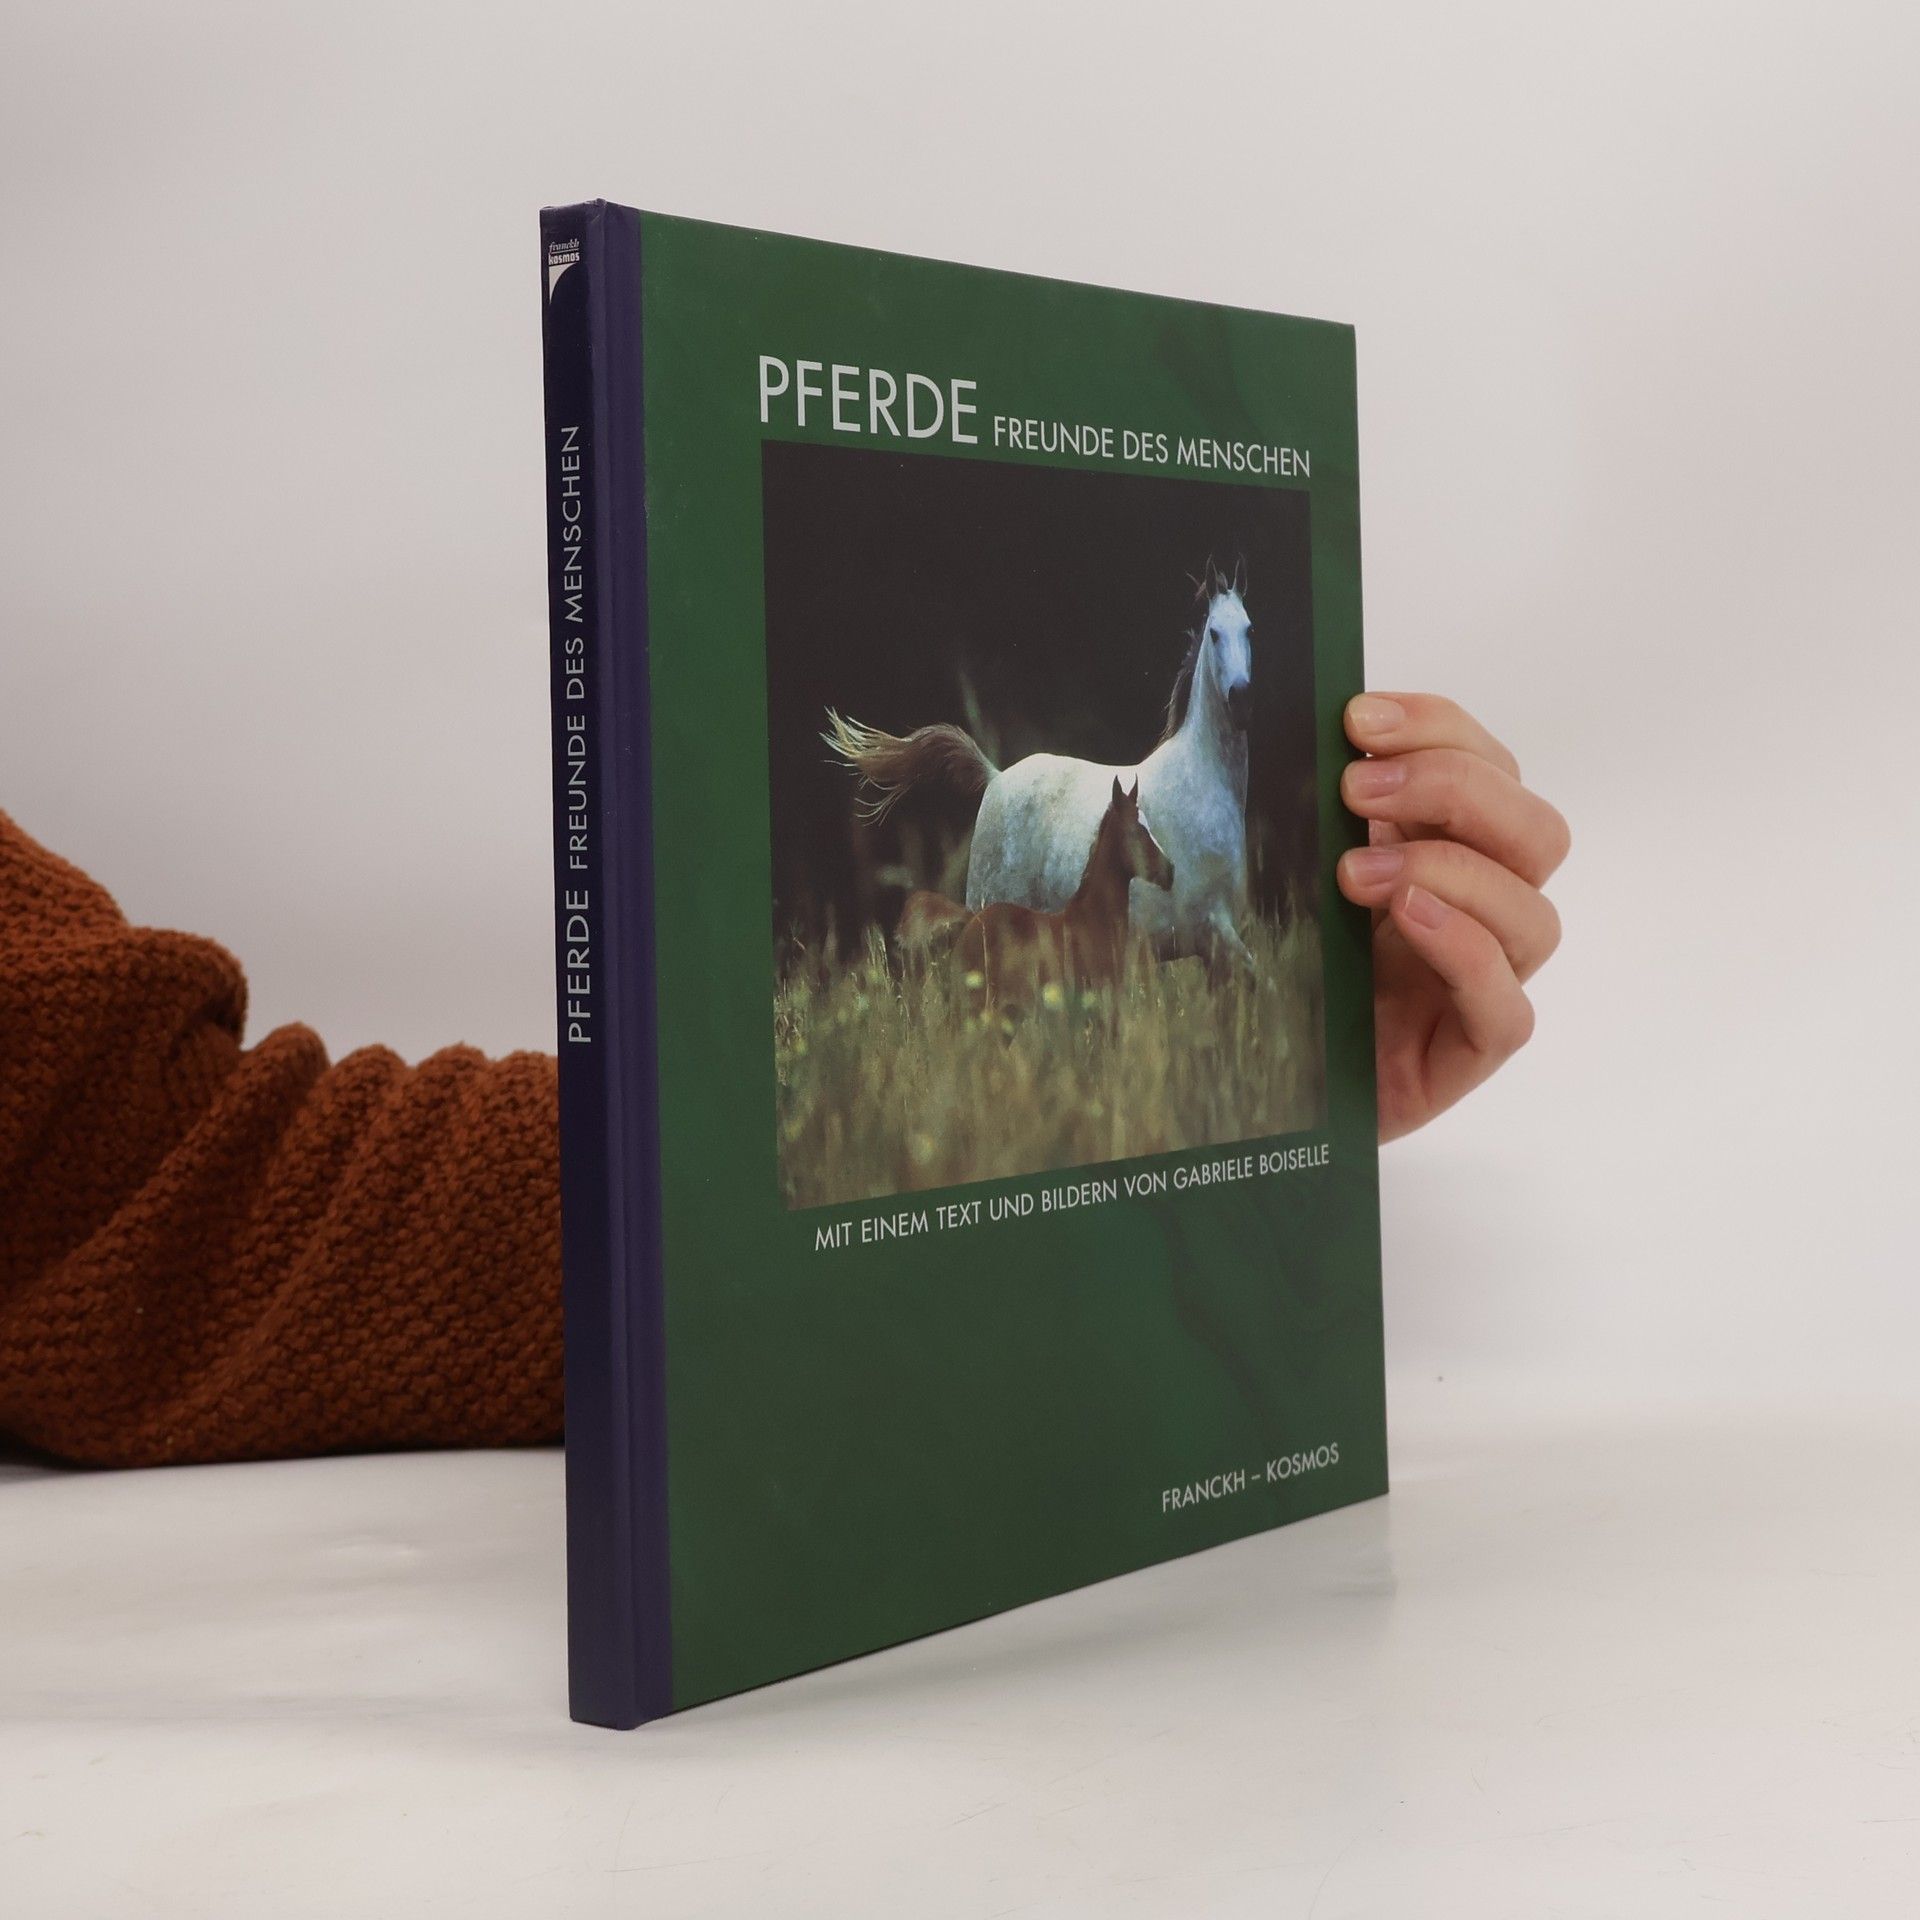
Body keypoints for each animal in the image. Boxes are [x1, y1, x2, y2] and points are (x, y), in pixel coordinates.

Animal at [823, 561, 1256, 971]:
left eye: (1249, 629)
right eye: (1214, 633)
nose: (1240, 700)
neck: (1201, 783)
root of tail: (995, 777)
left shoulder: (1214, 948)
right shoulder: (1206, 936)